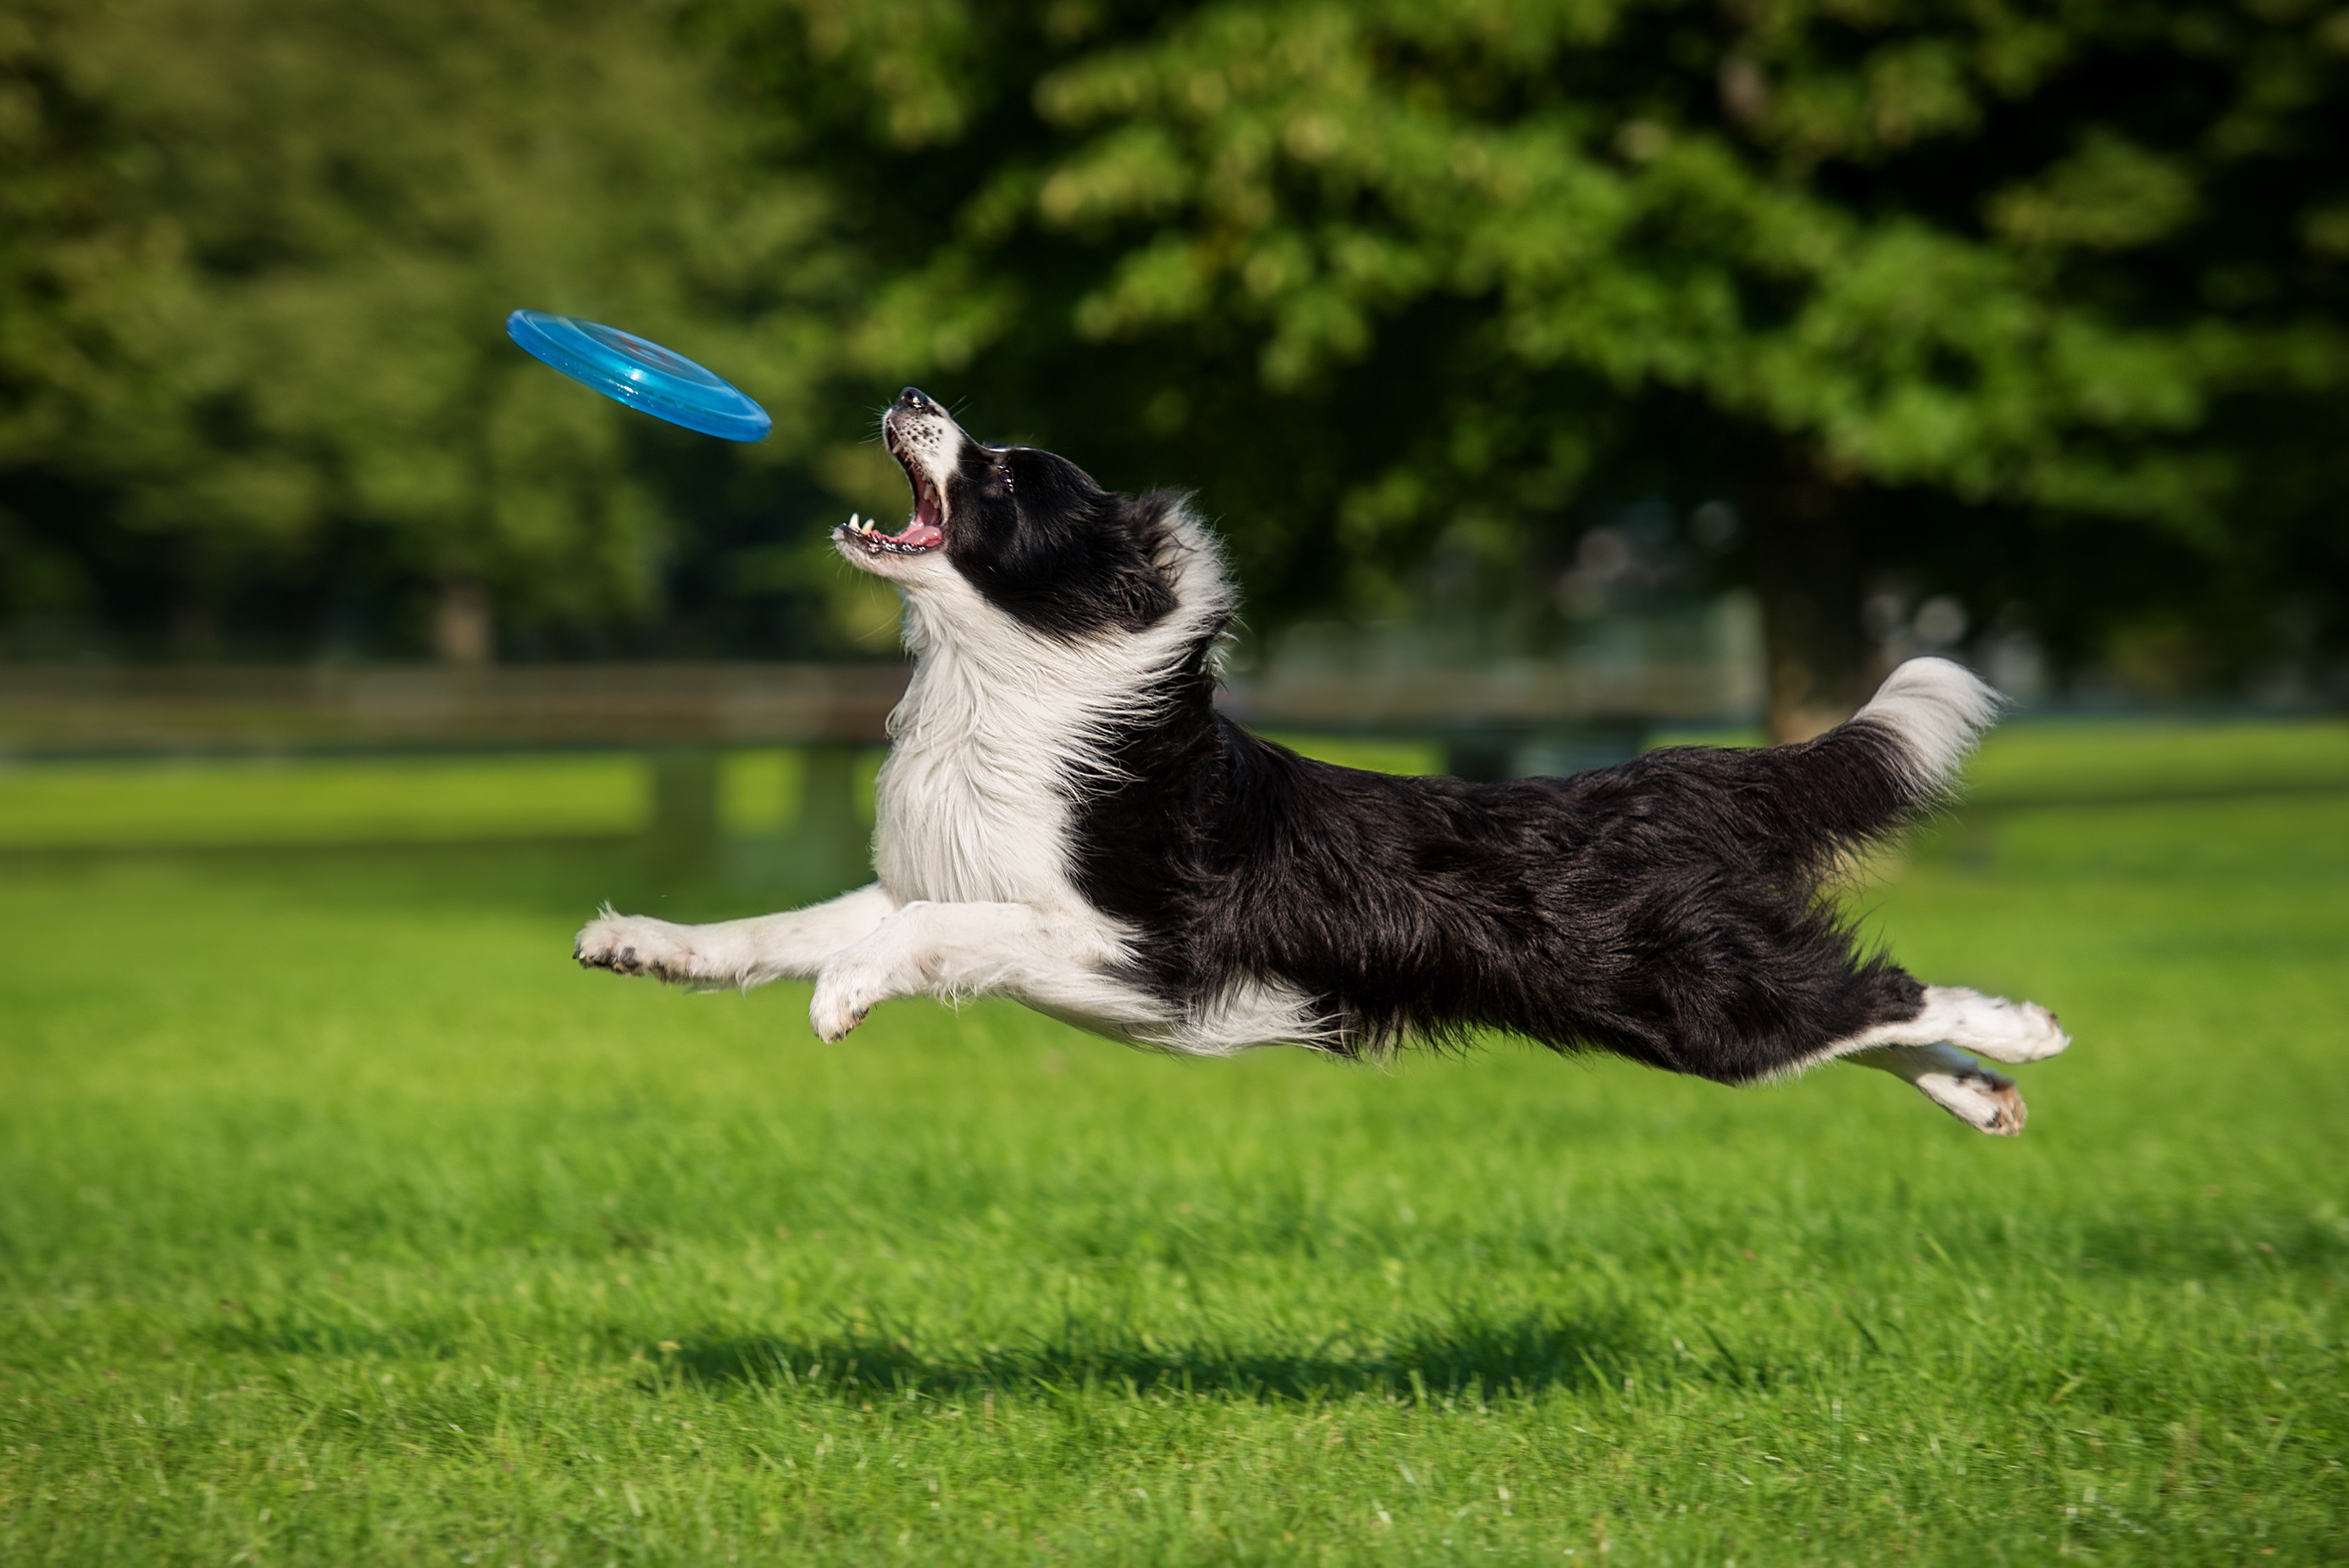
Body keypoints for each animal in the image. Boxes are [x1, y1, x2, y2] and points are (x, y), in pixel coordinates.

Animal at [577, 387, 2067, 1131]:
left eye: (1001, 473)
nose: (909, 390)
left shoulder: (1130, 938)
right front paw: (640, 944)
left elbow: (928, 937)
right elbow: (786, 926)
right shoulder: (931, 873)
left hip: (1675, 988)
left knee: (1879, 989)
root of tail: (1637, 783)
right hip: (1680, 1005)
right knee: (1850, 1021)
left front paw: (844, 999)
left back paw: (2025, 1029)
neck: (1006, 681)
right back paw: (1983, 1093)